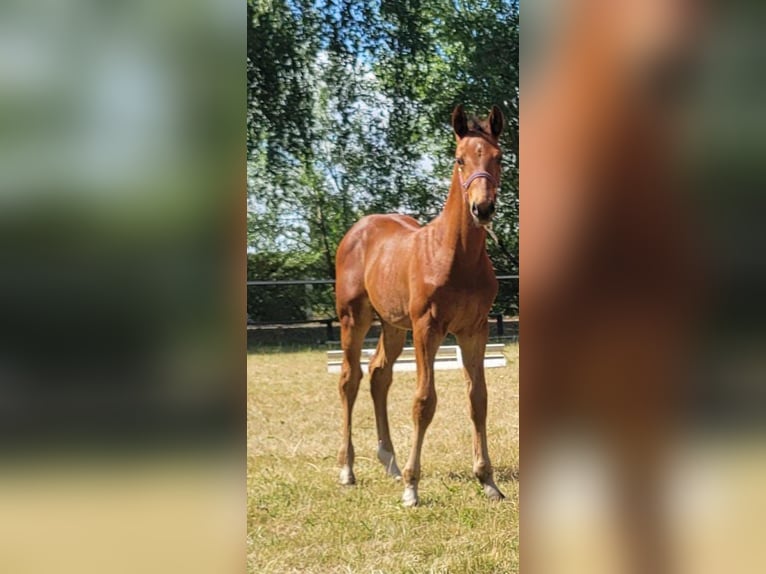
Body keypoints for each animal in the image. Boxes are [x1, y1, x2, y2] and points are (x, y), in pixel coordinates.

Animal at [334, 105, 506, 507]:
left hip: (394, 325)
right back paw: (348, 469)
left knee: (379, 375)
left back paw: (390, 461)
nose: (483, 208)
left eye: (499, 158)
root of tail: (358, 229)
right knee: (350, 379)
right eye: (459, 159)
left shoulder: (475, 330)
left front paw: (487, 480)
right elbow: (424, 401)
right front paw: (413, 487)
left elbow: (478, 399)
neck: (457, 255)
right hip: (354, 318)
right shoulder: (428, 328)